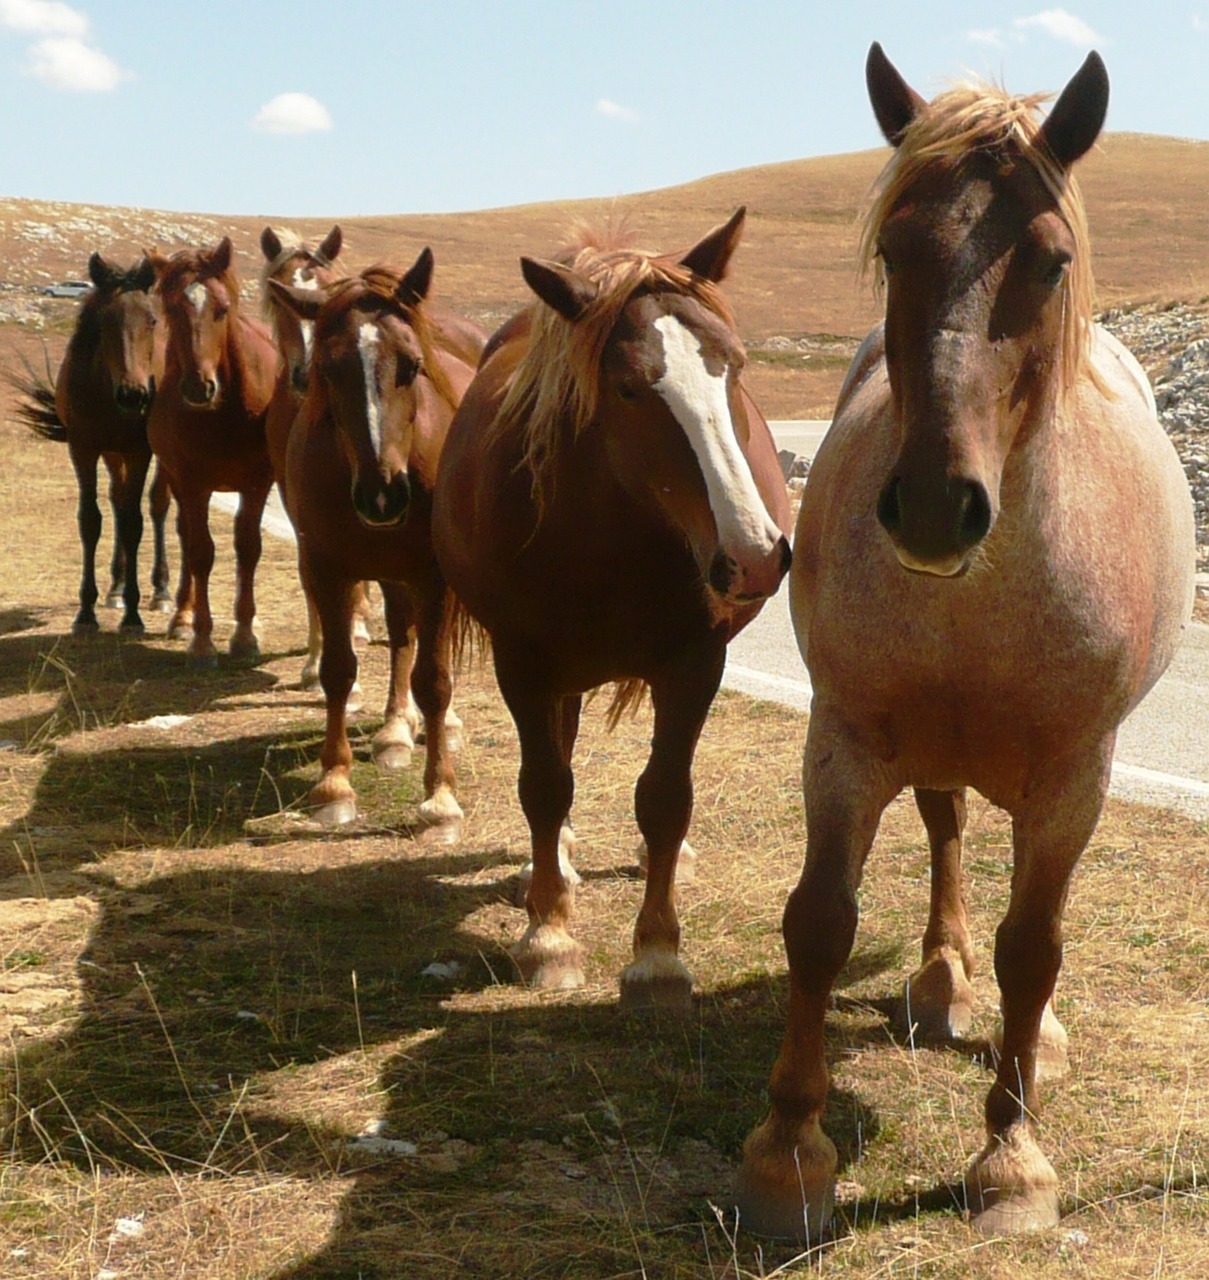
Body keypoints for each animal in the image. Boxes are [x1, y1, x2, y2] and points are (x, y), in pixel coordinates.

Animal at [10, 252, 172, 632]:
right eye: (105, 322)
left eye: (152, 320)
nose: (134, 395)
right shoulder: (83, 449)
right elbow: (91, 520)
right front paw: (86, 611)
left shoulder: (139, 451)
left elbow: (134, 522)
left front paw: (133, 614)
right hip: (112, 453)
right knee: (117, 500)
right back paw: (116, 587)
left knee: (157, 504)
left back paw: (161, 591)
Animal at [146, 235, 278, 665]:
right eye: (172, 309)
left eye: (222, 309)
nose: (199, 387)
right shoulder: (191, 483)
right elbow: (200, 552)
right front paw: (202, 640)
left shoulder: (258, 482)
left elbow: (248, 548)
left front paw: (245, 635)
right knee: (186, 537)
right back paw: (182, 616)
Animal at [269, 252, 486, 829]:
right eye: (329, 369)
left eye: (410, 365)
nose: (383, 494)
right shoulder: (327, 569)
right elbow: (339, 670)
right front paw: (334, 784)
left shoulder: (435, 577)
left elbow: (435, 679)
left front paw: (440, 797)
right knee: (401, 633)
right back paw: (394, 730)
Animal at [432, 209, 793, 1008]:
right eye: (629, 389)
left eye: (735, 366)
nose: (753, 555)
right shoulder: (524, 664)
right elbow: (544, 789)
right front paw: (549, 936)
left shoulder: (695, 665)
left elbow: (664, 799)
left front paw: (658, 954)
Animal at [731, 47, 1192, 1239]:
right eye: (895, 250)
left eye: (1053, 262)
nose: (938, 507)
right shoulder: (843, 741)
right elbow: (817, 924)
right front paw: (786, 1154)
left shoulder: (1075, 775)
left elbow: (1034, 947)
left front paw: (1012, 1159)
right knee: (943, 835)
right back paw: (942, 982)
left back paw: (1038, 1039)